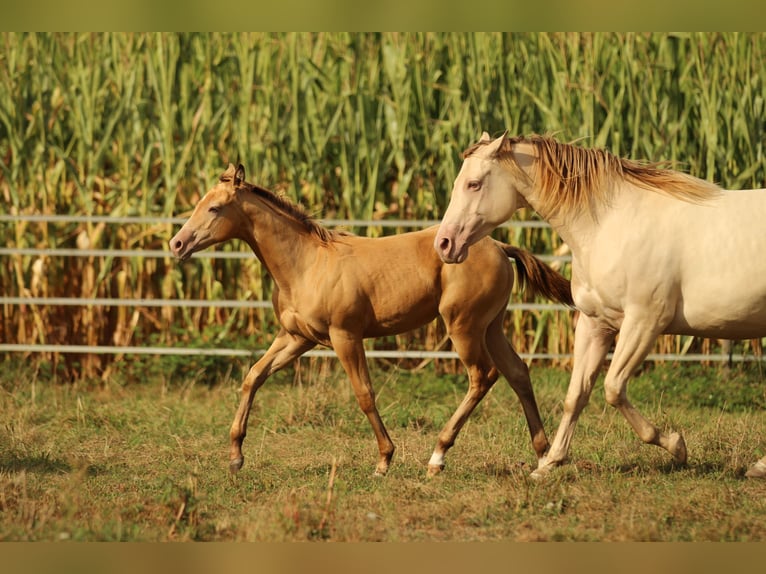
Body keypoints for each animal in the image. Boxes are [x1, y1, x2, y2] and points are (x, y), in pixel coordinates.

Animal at [170, 164, 576, 480]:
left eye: (215, 208)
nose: (177, 244)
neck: (306, 264)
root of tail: (499, 248)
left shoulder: (345, 336)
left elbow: (364, 394)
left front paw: (384, 460)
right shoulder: (296, 337)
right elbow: (253, 376)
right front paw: (236, 457)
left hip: (463, 327)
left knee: (483, 376)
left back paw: (437, 457)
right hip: (491, 327)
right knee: (518, 372)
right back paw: (543, 455)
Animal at [436, 133, 766, 480]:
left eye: (473, 184)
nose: (444, 243)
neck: (613, 224)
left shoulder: (645, 322)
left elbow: (612, 388)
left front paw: (677, 446)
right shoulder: (596, 323)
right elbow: (576, 395)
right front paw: (549, 464)